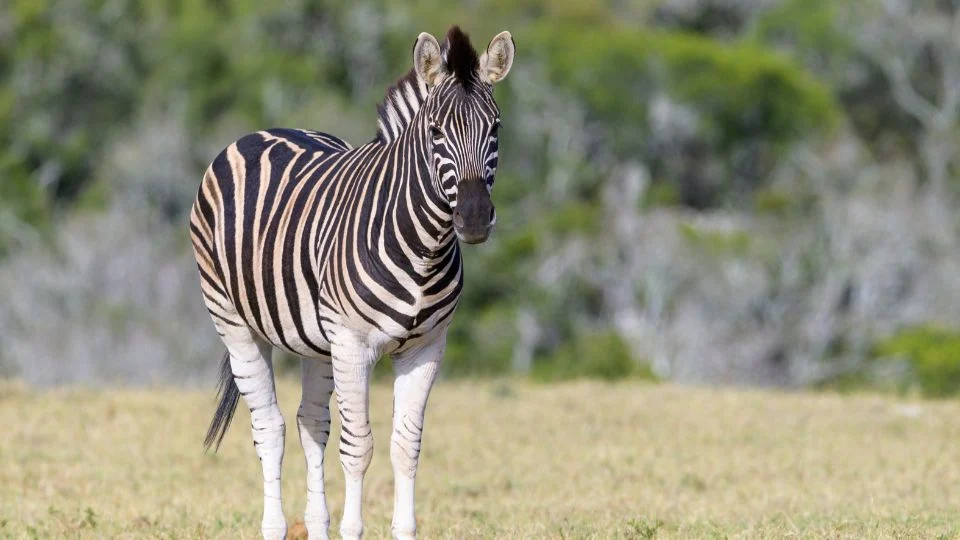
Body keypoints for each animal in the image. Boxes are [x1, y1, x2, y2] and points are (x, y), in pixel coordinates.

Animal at [189, 26, 515, 540]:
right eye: (436, 132)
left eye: (495, 129)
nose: (475, 218)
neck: (423, 246)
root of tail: (263, 130)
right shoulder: (353, 344)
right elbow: (359, 447)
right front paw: (353, 527)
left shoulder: (426, 348)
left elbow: (406, 445)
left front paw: (403, 528)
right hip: (235, 322)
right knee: (270, 428)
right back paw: (275, 525)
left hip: (317, 343)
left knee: (311, 423)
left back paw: (315, 522)